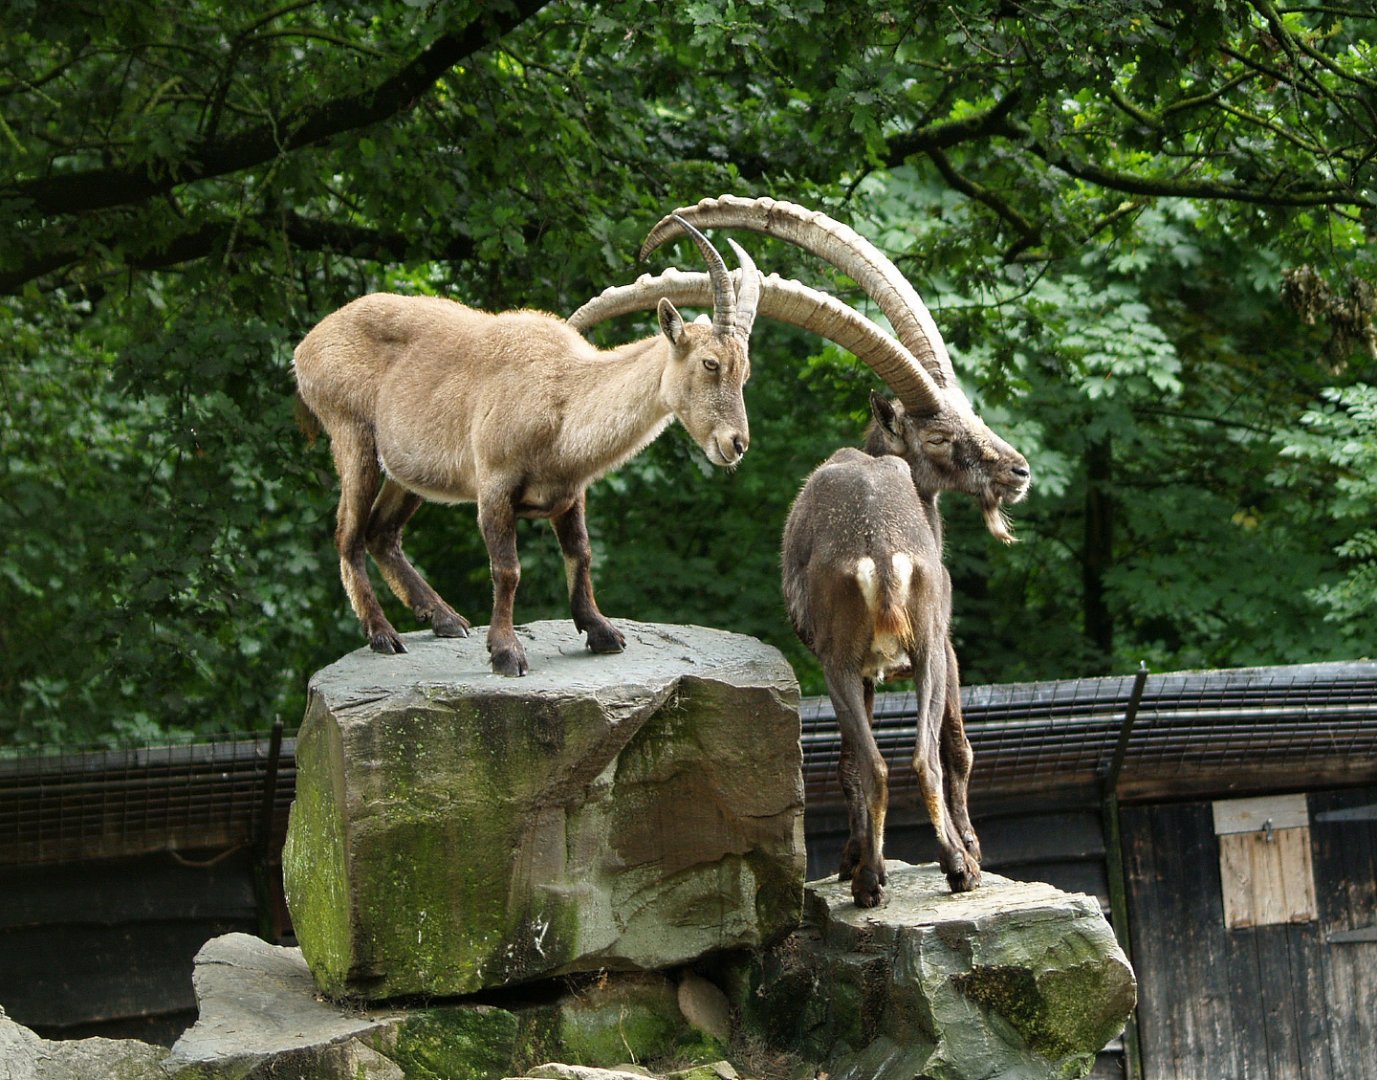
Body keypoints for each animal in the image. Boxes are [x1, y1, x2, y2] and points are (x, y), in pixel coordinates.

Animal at [294, 217, 762, 676]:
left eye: (745, 371)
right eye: (710, 363)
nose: (736, 444)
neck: (564, 399)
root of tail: (306, 346)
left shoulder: (570, 494)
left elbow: (581, 554)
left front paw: (601, 631)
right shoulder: (495, 486)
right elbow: (508, 570)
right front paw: (506, 652)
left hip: (409, 468)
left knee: (382, 532)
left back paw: (445, 618)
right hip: (353, 436)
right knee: (349, 535)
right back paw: (382, 634)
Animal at [638, 197, 1030, 906]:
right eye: (938, 435)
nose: (1018, 471)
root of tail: (878, 545)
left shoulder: (888, 658)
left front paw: (862, 859)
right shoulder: (938, 645)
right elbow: (951, 748)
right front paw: (960, 852)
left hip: (851, 659)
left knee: (883, 761)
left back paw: (885, 876)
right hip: (890, 655)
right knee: (910, 758)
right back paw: (936, 870)